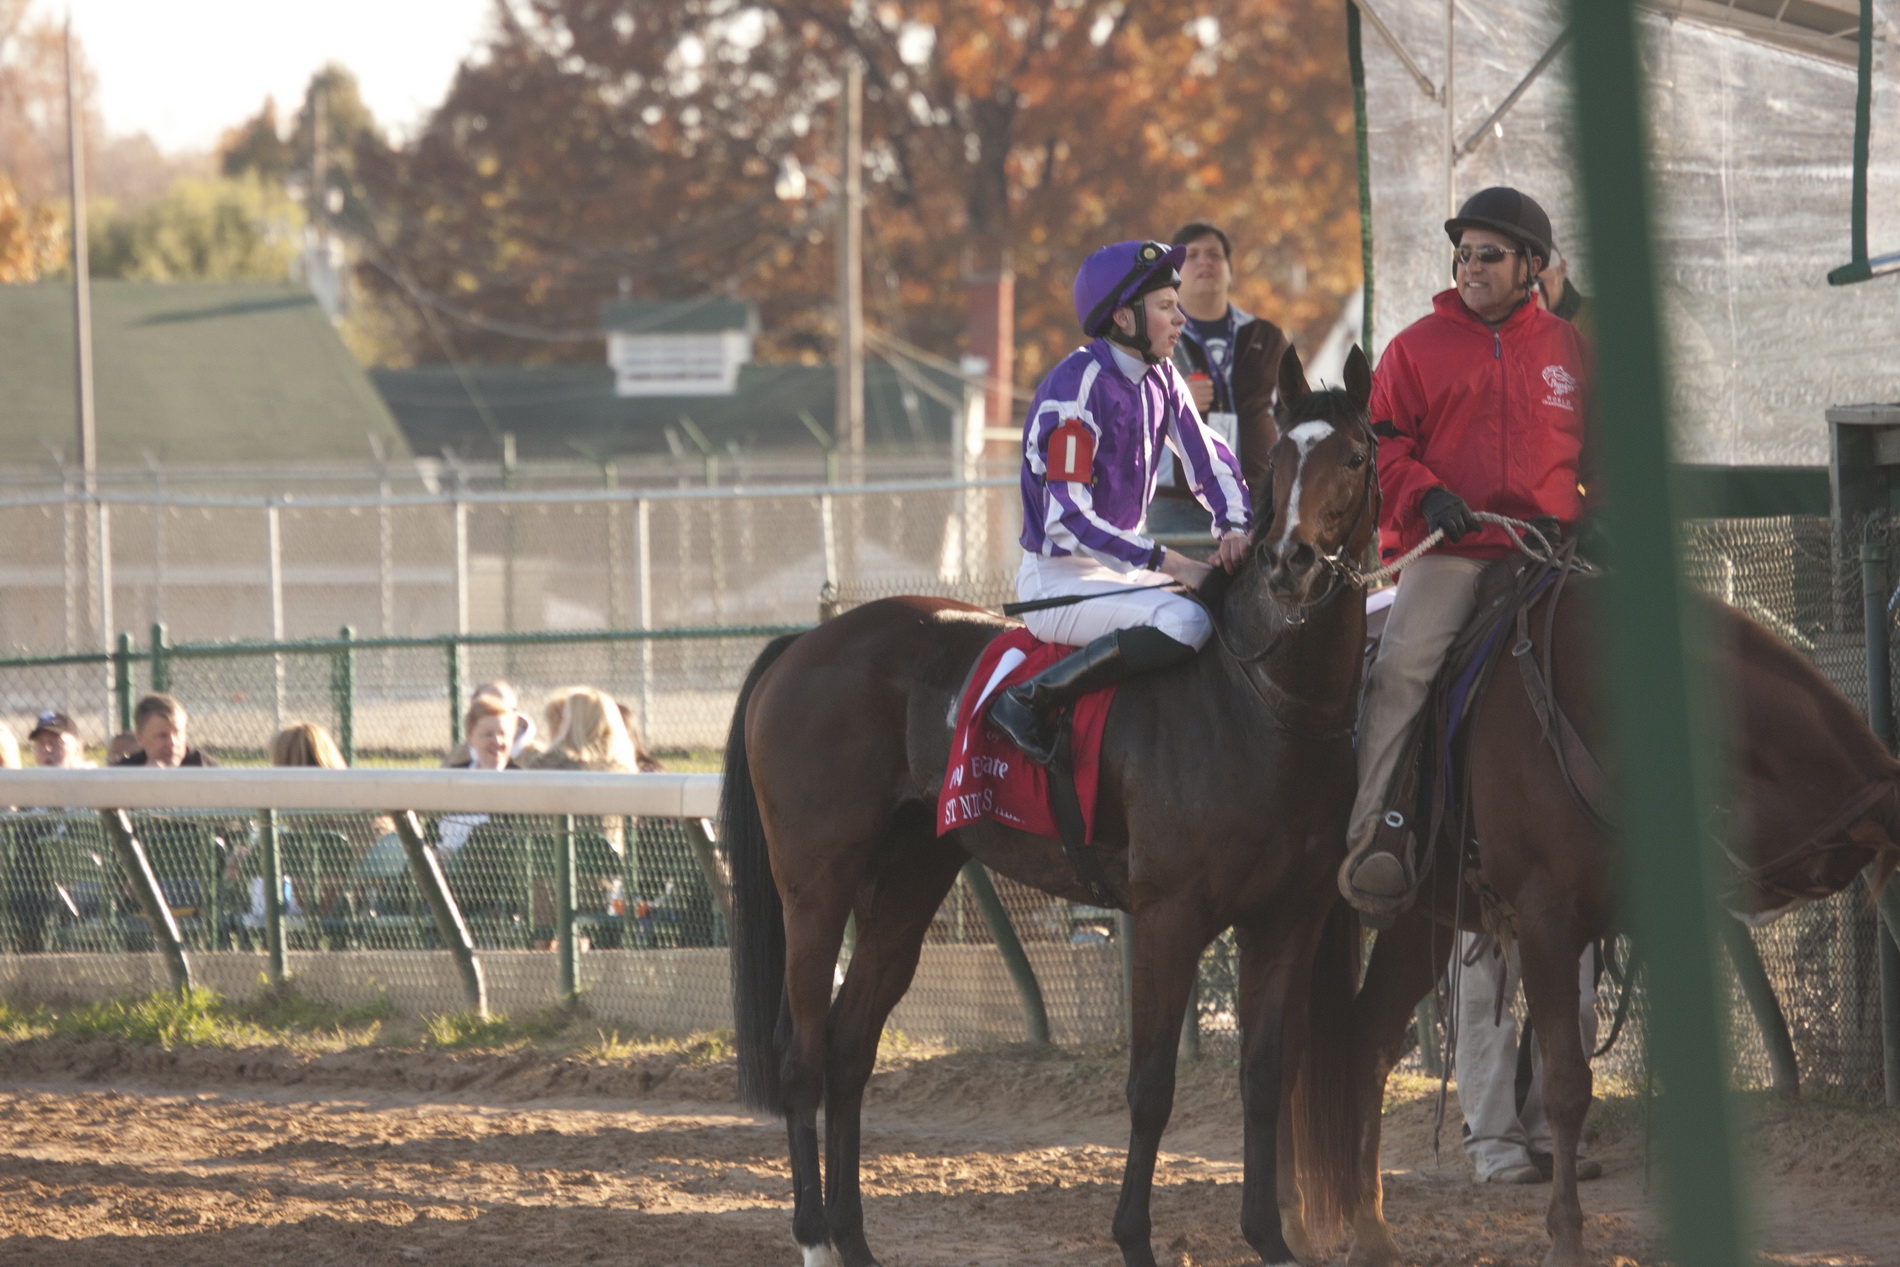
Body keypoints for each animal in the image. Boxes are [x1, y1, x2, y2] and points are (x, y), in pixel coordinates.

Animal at [720, 345, 1382, 1267]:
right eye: (1279, 462)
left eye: (1353, 457)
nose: (1288, 563)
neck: (1267, 700)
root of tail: (803, 642)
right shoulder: (1170, 912)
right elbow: (1151, 1085)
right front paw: (1135, 1240)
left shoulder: (1287, 917)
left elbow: (1263, 1076)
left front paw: (1268, 1239)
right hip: (815, 886)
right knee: (802, 1055)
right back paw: (815, 1238)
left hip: (909, 877)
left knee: (851, 1045)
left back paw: (854, 1240)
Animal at [1311, 564, 1900, 1267]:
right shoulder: (1546, 920)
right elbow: (1567, 1085)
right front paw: (1566, 1236)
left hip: (1417, 923)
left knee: (1370, 1041)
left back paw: (1370, 1229)